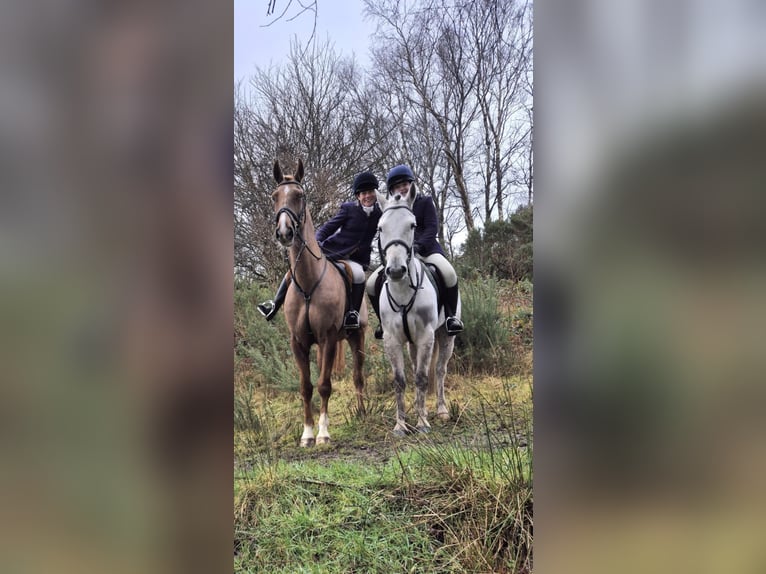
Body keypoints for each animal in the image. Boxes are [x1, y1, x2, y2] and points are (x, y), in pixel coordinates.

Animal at [272, 160, 368, 448]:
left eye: (299, 195)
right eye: (274, 196)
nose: (284, 232)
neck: (308, 280)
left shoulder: (327, 338)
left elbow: (325, 384)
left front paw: (323, 433)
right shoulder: (298, 343)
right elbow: (306, 387)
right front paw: (306, 435)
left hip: (357, 336)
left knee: (358, 375)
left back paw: (362, 412)